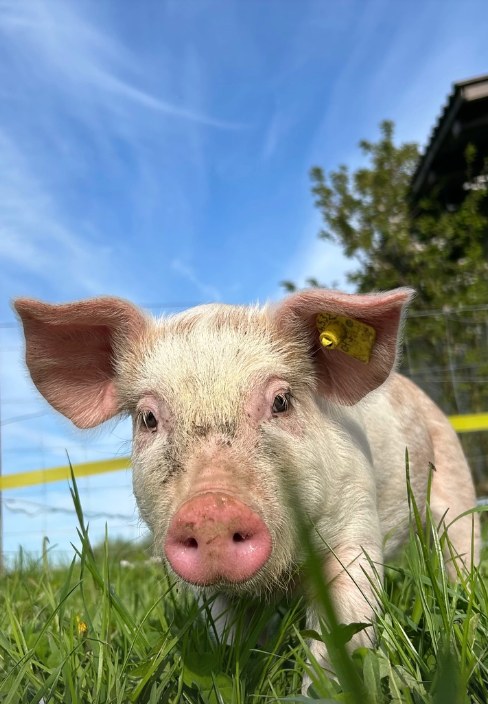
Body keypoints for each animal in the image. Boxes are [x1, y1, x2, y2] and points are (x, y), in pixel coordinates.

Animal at [14, 288, 480, 683]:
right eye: (147, 418)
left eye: (281, 402)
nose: (211, 509)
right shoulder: (207, 594)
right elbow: (228, 639)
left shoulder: (355, 526)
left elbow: (343, 632)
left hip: (456, 485)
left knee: (460, 548)